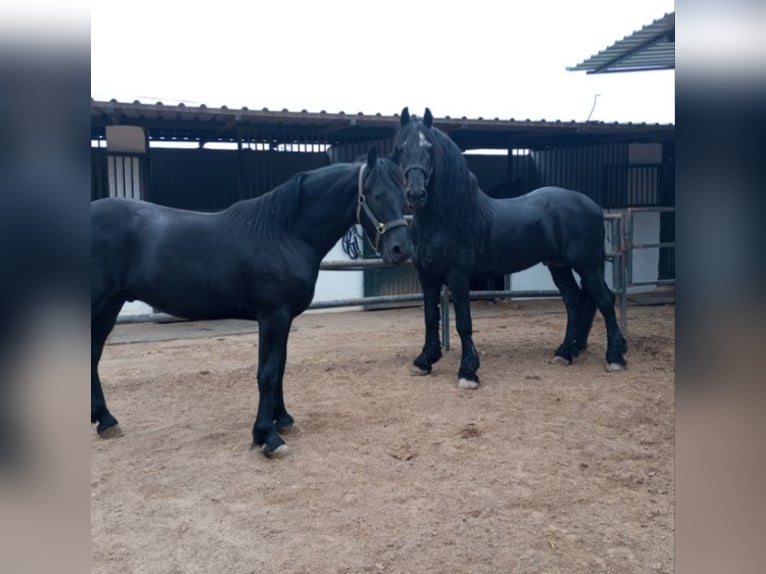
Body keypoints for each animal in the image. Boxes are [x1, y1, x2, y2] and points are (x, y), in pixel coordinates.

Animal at [91, 149, 413, 457]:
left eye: (404, 194)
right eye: (375, 194)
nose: (402, 250)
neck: (284, 233)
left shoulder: (284, 319)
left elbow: (280, 367)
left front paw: (282, 419)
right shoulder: (273, 316)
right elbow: (267, 374)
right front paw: (267, 437)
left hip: (110, 305)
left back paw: (105, 421)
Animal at [392, 107, 627, 389]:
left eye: (429, 148)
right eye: (401, 148)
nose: (416, 194)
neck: (446, 220)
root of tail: (592, 206)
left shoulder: (458, 277)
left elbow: (464, 322)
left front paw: (468, 372)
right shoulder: (427, 277)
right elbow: (429, 318)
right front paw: (424, 361)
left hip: (588, 266)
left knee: (605, 300)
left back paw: (615, 357)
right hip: (560, 267)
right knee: (575, 302)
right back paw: (565, 353)